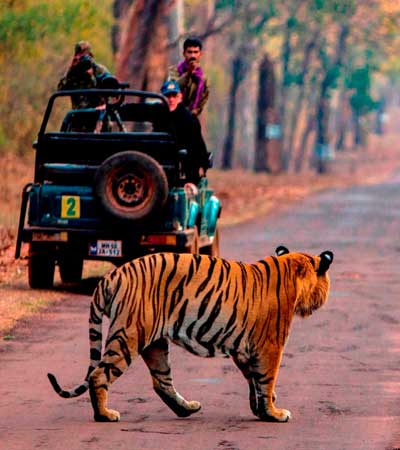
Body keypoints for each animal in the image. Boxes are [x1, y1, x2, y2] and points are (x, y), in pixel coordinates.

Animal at [48, 244, 332, 424]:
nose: (325, 297)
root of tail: (112, 275)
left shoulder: (244, 350)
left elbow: (254, 381)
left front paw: (261, 409)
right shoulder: (270, 346)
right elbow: (266, 379)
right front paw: (274, 413)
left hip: (155, 343)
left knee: (161, 382)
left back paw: (187, 409)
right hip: (129, 335)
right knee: (98, 375)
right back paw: (104, 415)